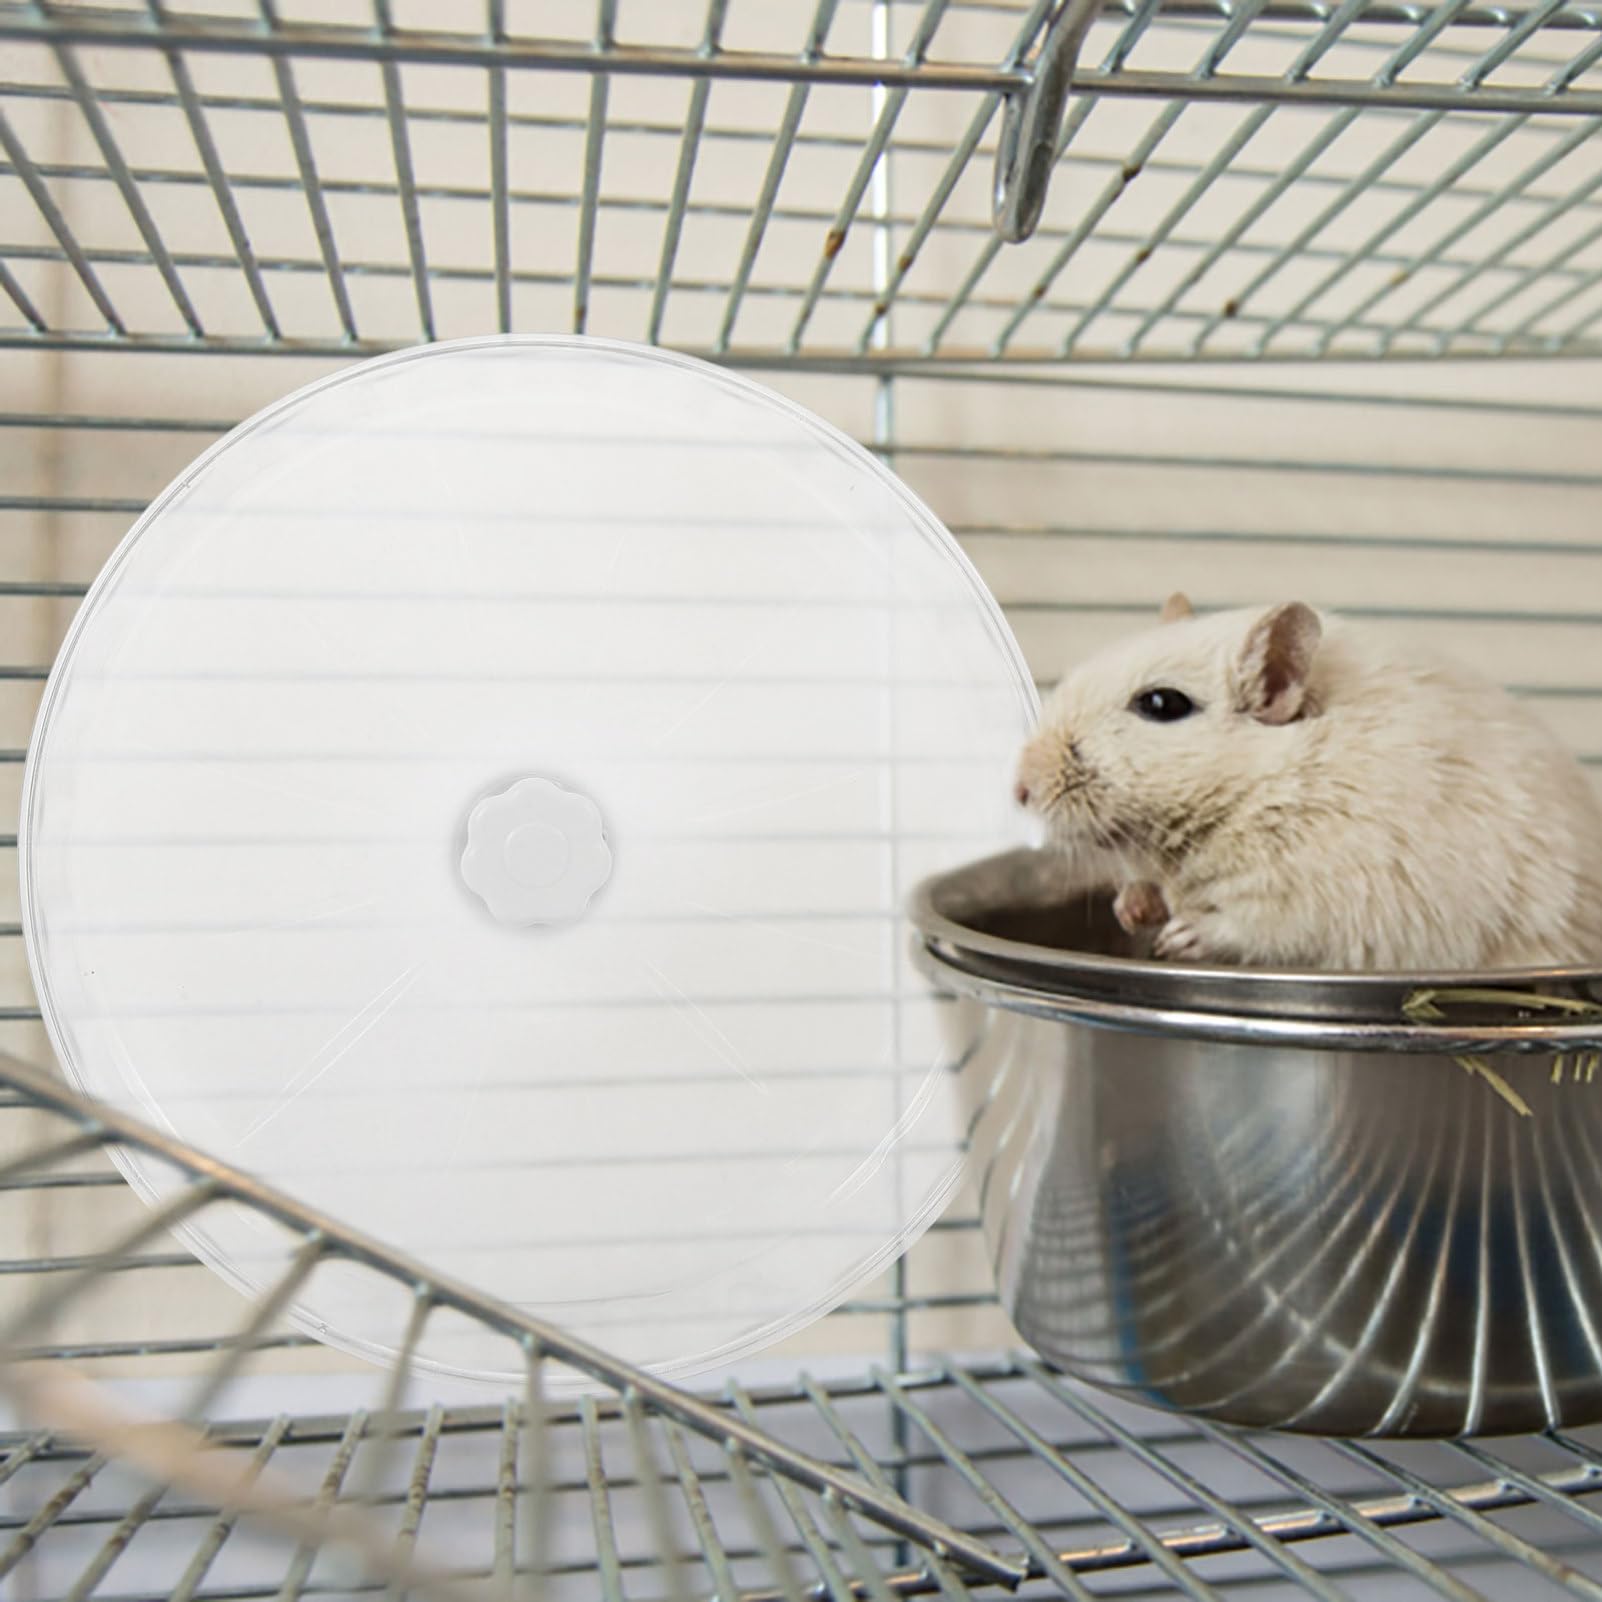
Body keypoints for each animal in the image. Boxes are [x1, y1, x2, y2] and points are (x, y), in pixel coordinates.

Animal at [1013, 595, 1602, 971]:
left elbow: (1256, 926)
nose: (1020, 790)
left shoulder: (1327, 897)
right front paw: (1135, 908)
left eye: (1161, 704)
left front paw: (1184, 936)